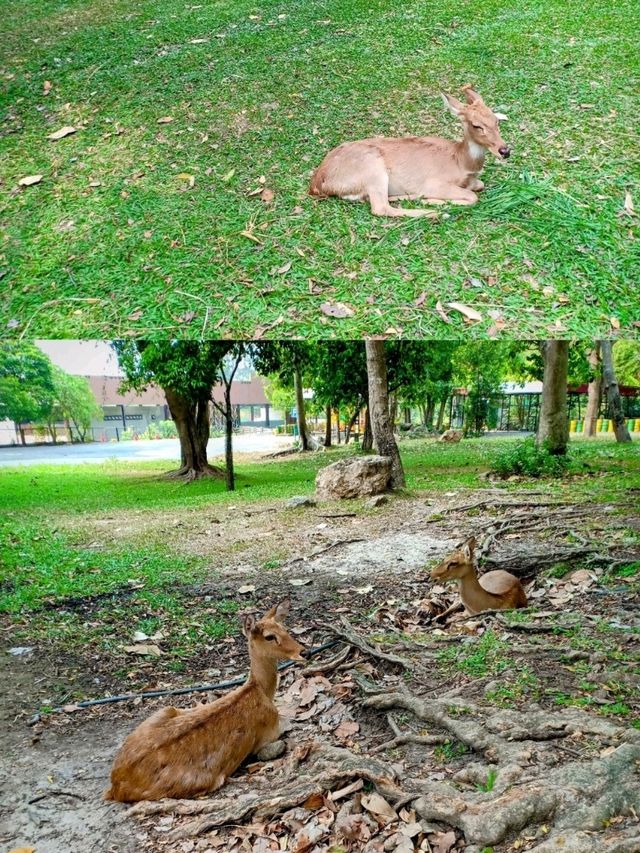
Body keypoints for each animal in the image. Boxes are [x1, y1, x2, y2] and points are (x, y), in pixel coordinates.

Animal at [104, 596, 304, 804]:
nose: (303, 651)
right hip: (203, 780)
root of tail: (115, 786)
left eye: (285, 629)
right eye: (269, 636)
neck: (262, 692)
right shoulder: (268, 735)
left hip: (165, 710)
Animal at [310, 84, 510, 216]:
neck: (461, 162)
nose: (505, 150)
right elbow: (472, 197)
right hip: (372, 169)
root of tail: (318, 184)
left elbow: (479, 186)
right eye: (476, 125)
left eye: (496, 120)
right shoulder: (434, 182)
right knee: (380, 208)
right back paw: (432, 211)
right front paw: (433, 200)